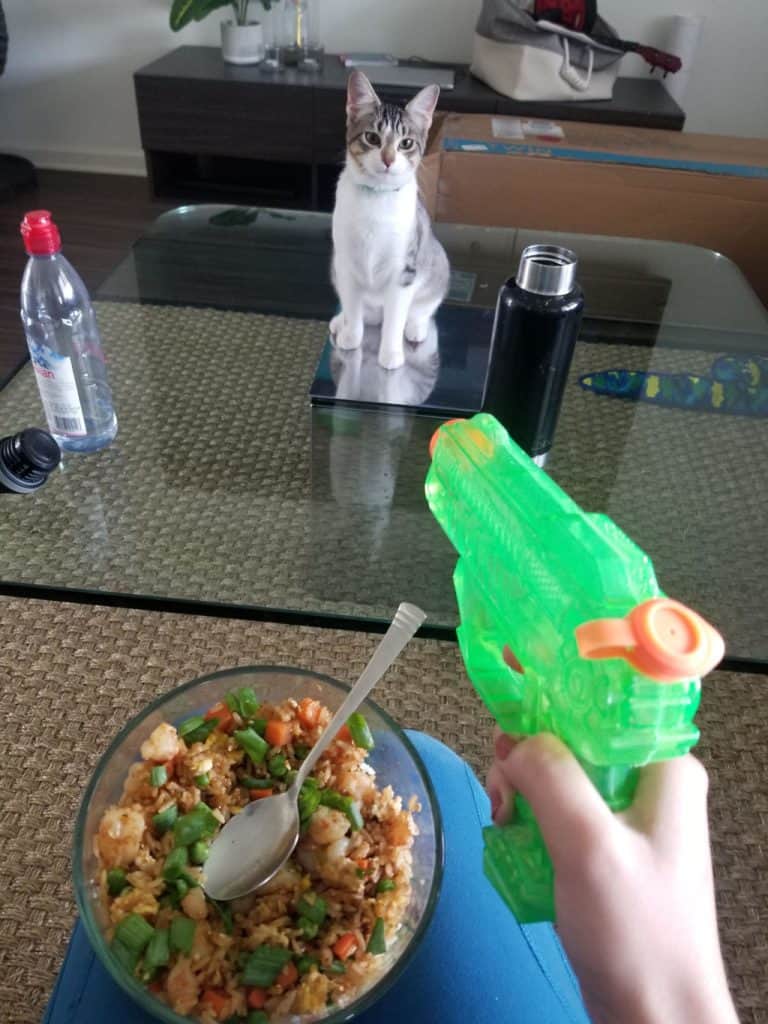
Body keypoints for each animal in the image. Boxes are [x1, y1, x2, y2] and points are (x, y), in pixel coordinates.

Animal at [331, 69, 450, 372]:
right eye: (372, 138)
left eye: (405, 143)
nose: (387, 159)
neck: (376, 198)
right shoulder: (345, 263)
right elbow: (352, 307)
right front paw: (351, 336)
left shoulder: (404, 270)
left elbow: (395, 318)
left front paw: (391, 354)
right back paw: (342, 322)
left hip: (437, 264)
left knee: (421, 310)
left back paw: (416, 327)